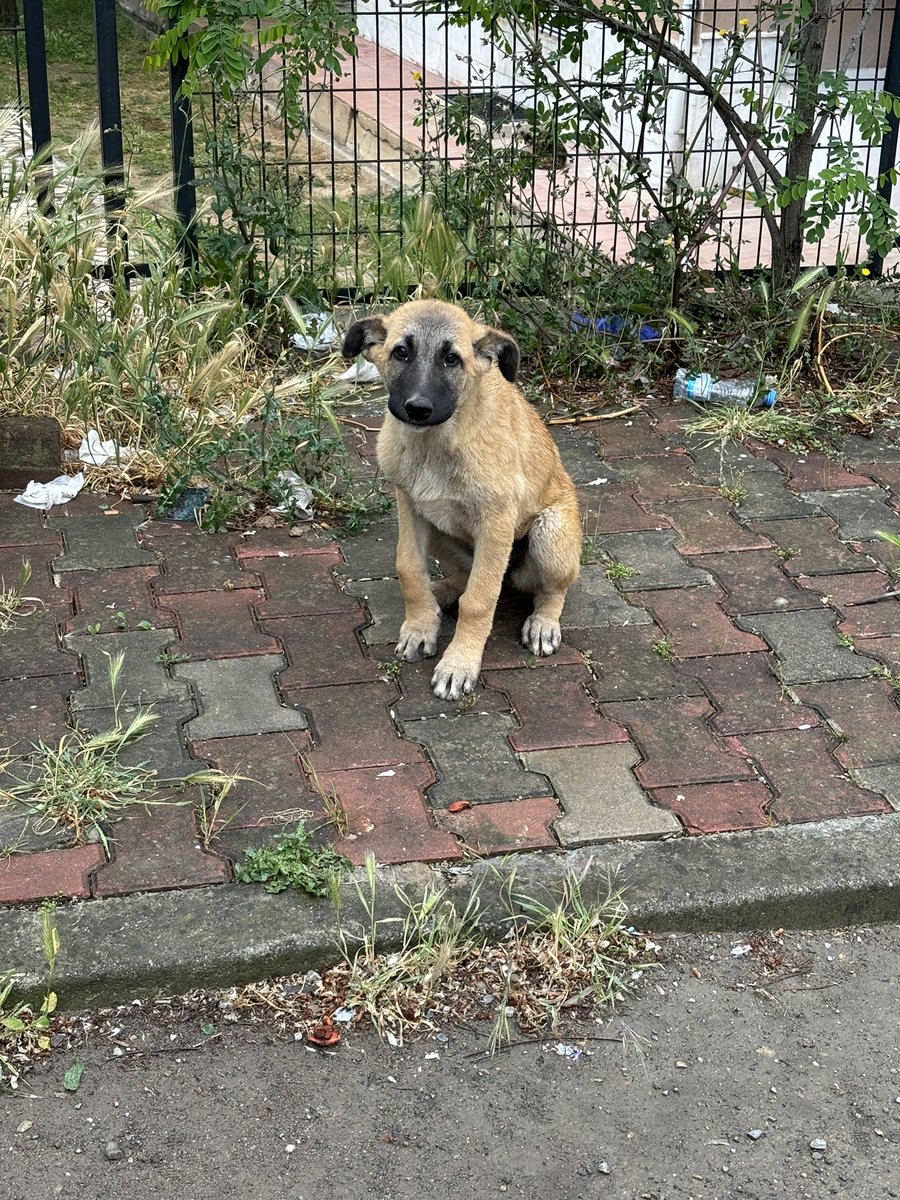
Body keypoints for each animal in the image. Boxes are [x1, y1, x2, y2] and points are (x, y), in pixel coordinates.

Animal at [340, 295, 580, 700]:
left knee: (551, 589)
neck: (435, 444)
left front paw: (459, 663)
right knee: (464, 574)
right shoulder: (410, 508)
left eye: (452, 359)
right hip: (440, 530)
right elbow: (409, 568)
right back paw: (440, 593)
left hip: (549, 535)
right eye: (401, 352)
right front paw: (420, 625)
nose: (417, 408)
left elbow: (479, 600)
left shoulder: (496, 523)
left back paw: (543, 623)